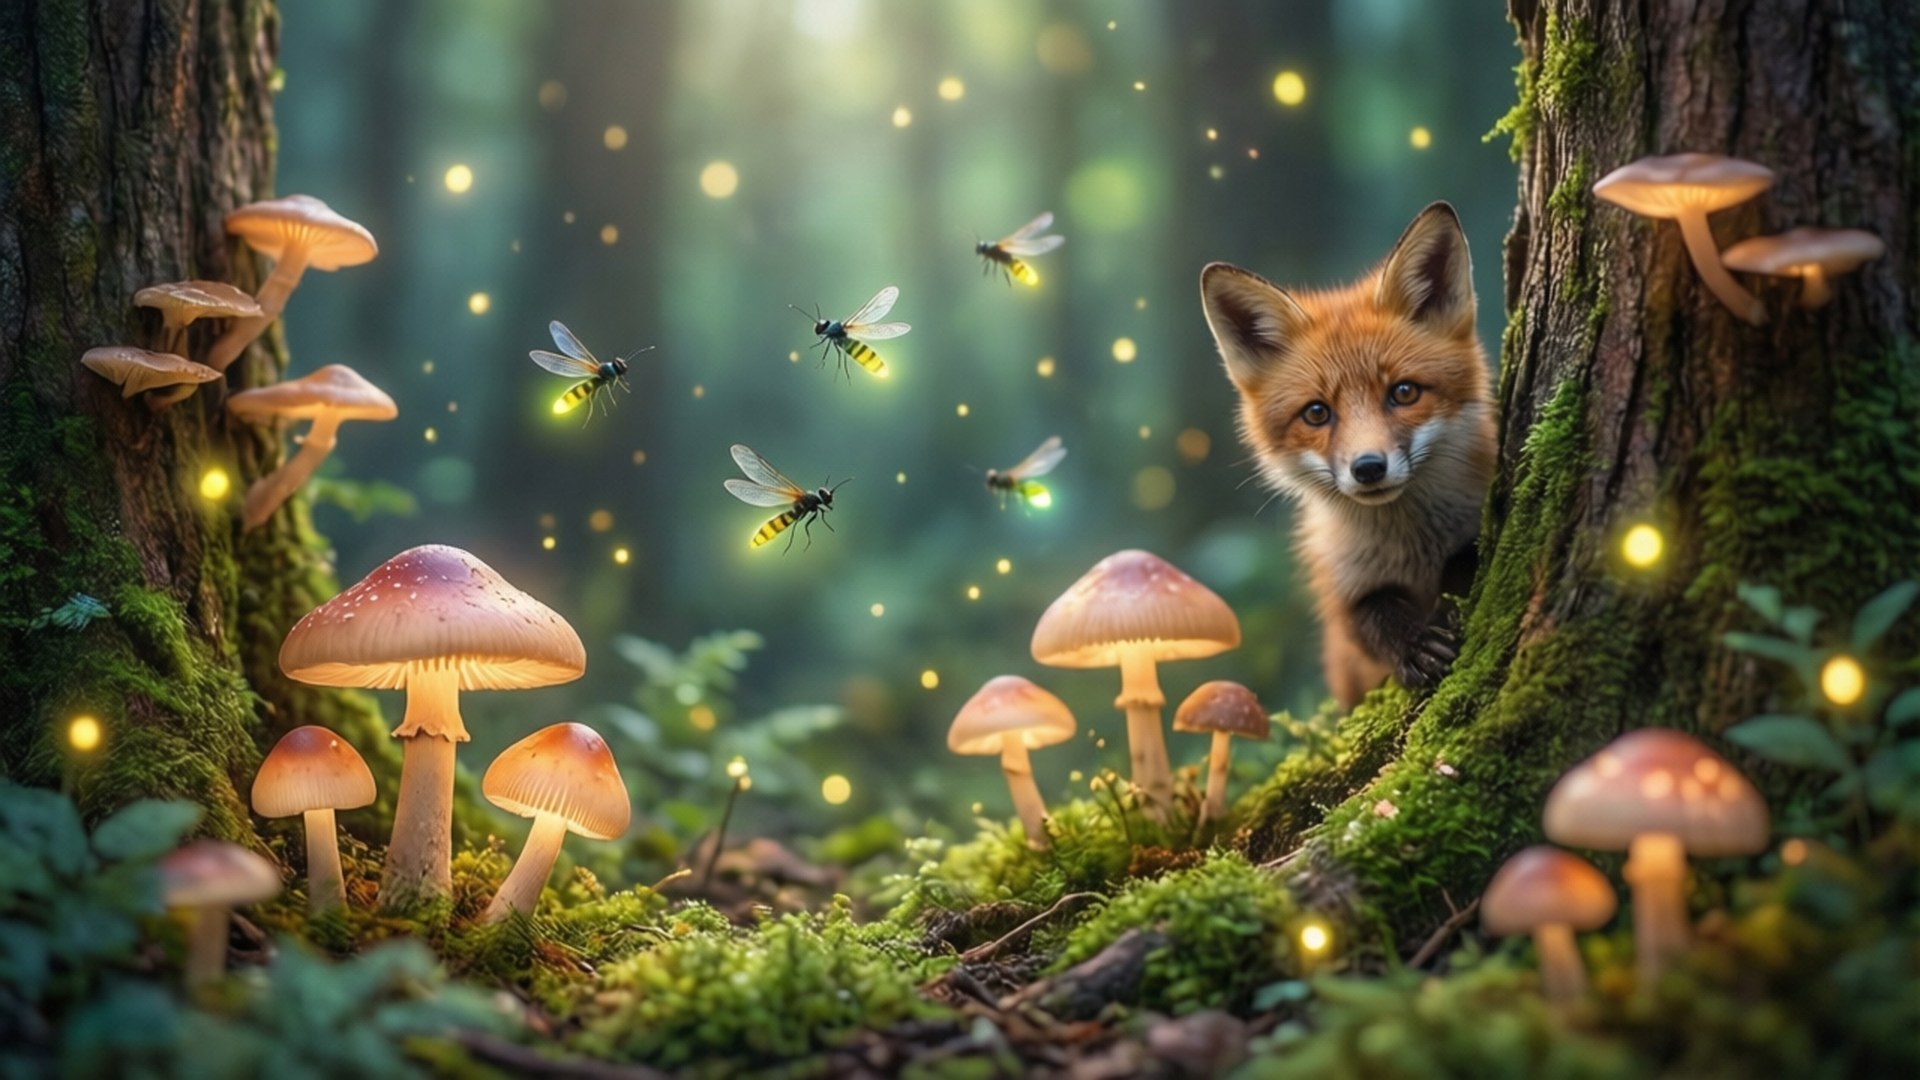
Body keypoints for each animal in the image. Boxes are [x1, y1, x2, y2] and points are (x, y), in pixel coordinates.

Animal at [1199, 202, 1497, 709]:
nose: (1368, 468)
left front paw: (1448, 600)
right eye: (1317, 413)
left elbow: (1467, 558)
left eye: (1404, 392)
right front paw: (1413, 645)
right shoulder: (1340, 592)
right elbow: (1367, 616)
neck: (1412, 548)